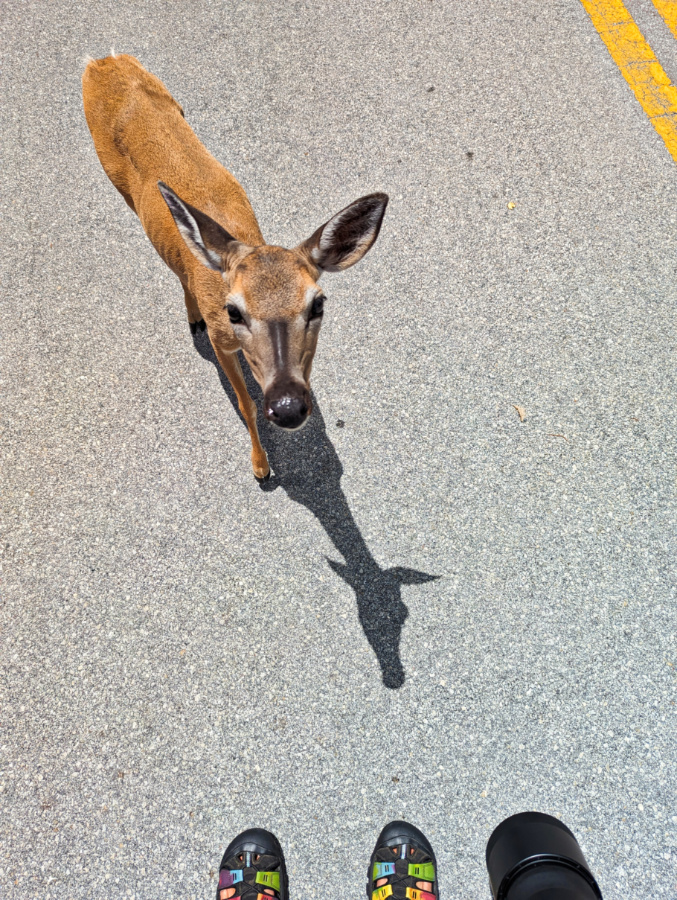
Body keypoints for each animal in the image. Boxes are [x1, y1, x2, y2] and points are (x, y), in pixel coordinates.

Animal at [84, 52, 388, 482]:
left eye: (318, 304)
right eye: (233, 311)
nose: (288, 406)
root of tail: (102, 62)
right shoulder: (220, 340)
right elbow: (246, 405)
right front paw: (261, 467)